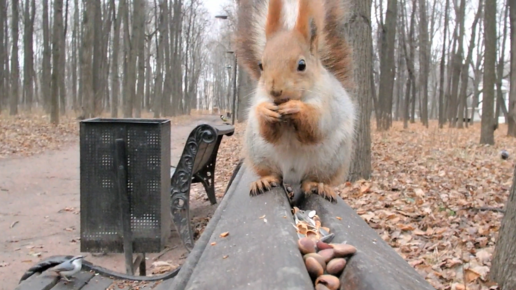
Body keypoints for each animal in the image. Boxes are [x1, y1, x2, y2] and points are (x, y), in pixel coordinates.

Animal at [233, 0, 354, 203]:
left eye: (302, 65)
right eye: (261, 65)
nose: (275, 90)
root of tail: (292, 176)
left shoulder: (329, 102)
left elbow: (317, 125)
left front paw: (296, 108)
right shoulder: (260, 97)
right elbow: (267, 129)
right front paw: (265, 111)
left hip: (331, 161)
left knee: (313, 178)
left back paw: (318, 186)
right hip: (259, 152)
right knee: (273, 173)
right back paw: (264, 181)